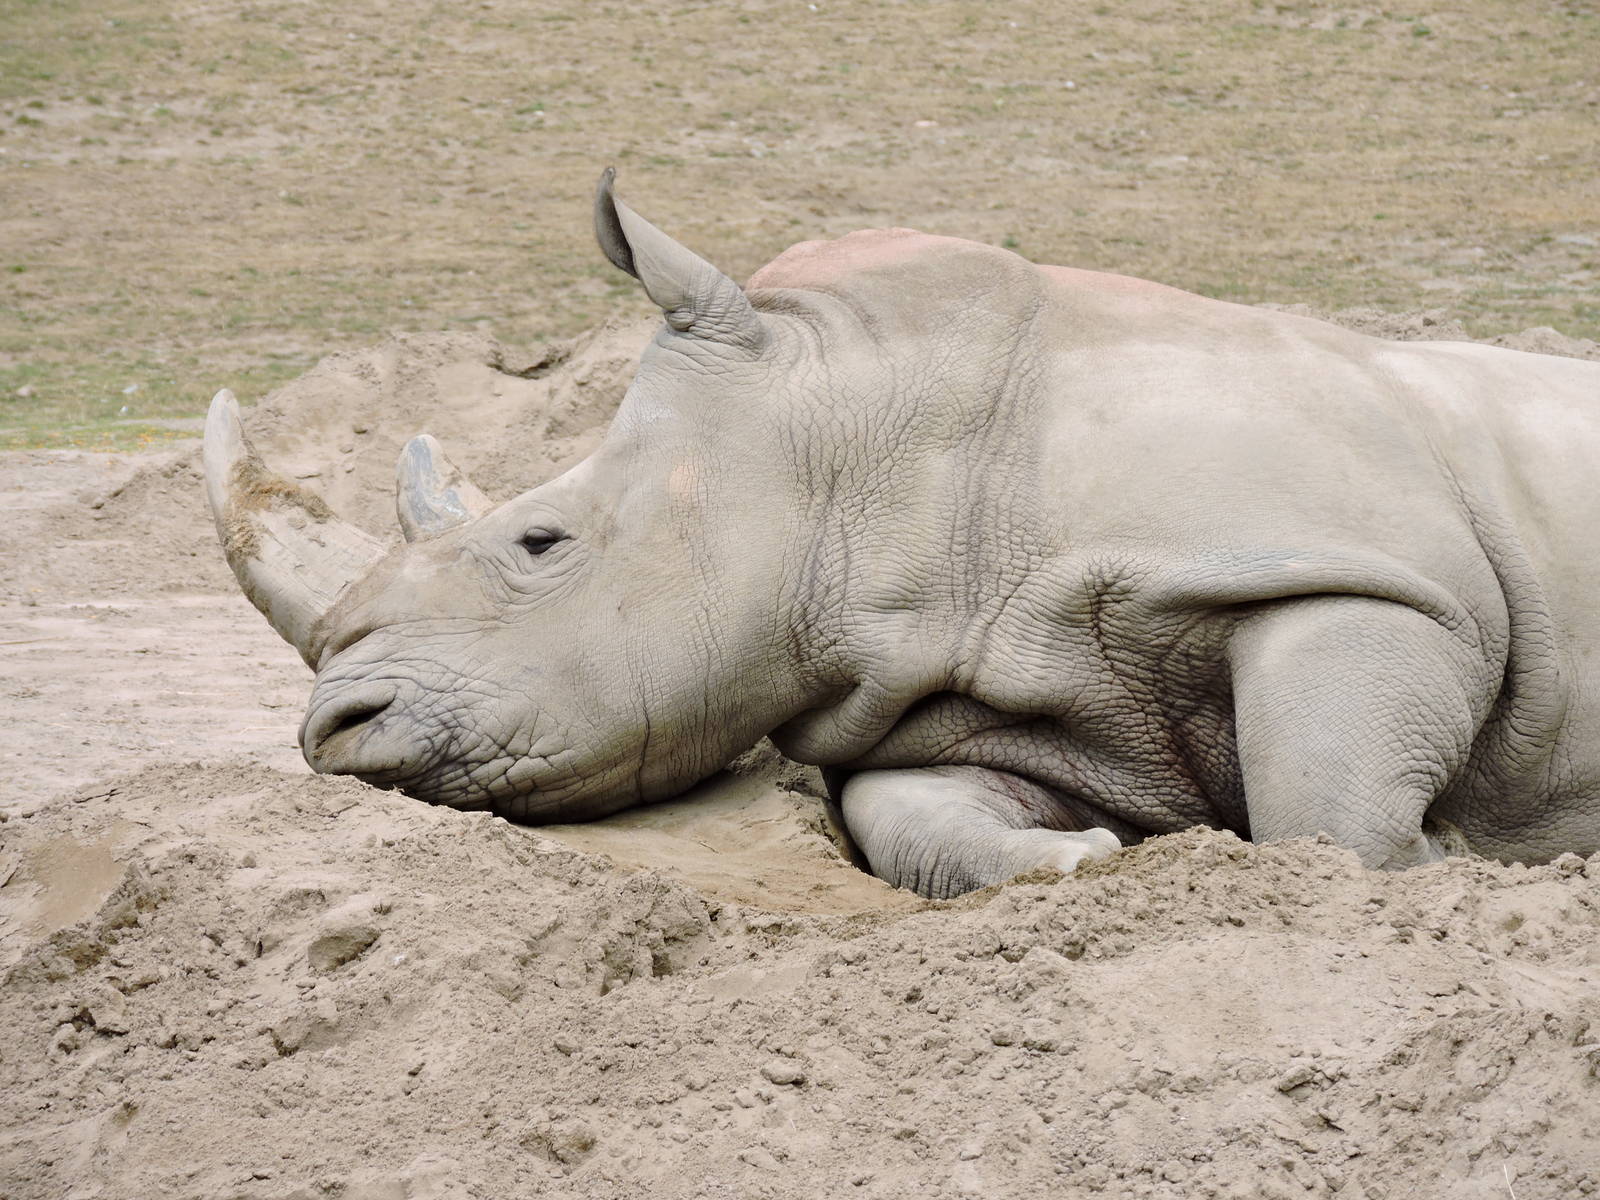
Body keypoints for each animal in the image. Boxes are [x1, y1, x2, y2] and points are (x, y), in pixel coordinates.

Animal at [203, 169, 1600, 899]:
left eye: (540, 544)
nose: (336, 732)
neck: (867, 431)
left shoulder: (1374, 576)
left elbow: (1330, 807)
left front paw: (1454, 854)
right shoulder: (981, 678)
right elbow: (911, 819)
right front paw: (1082, 859)